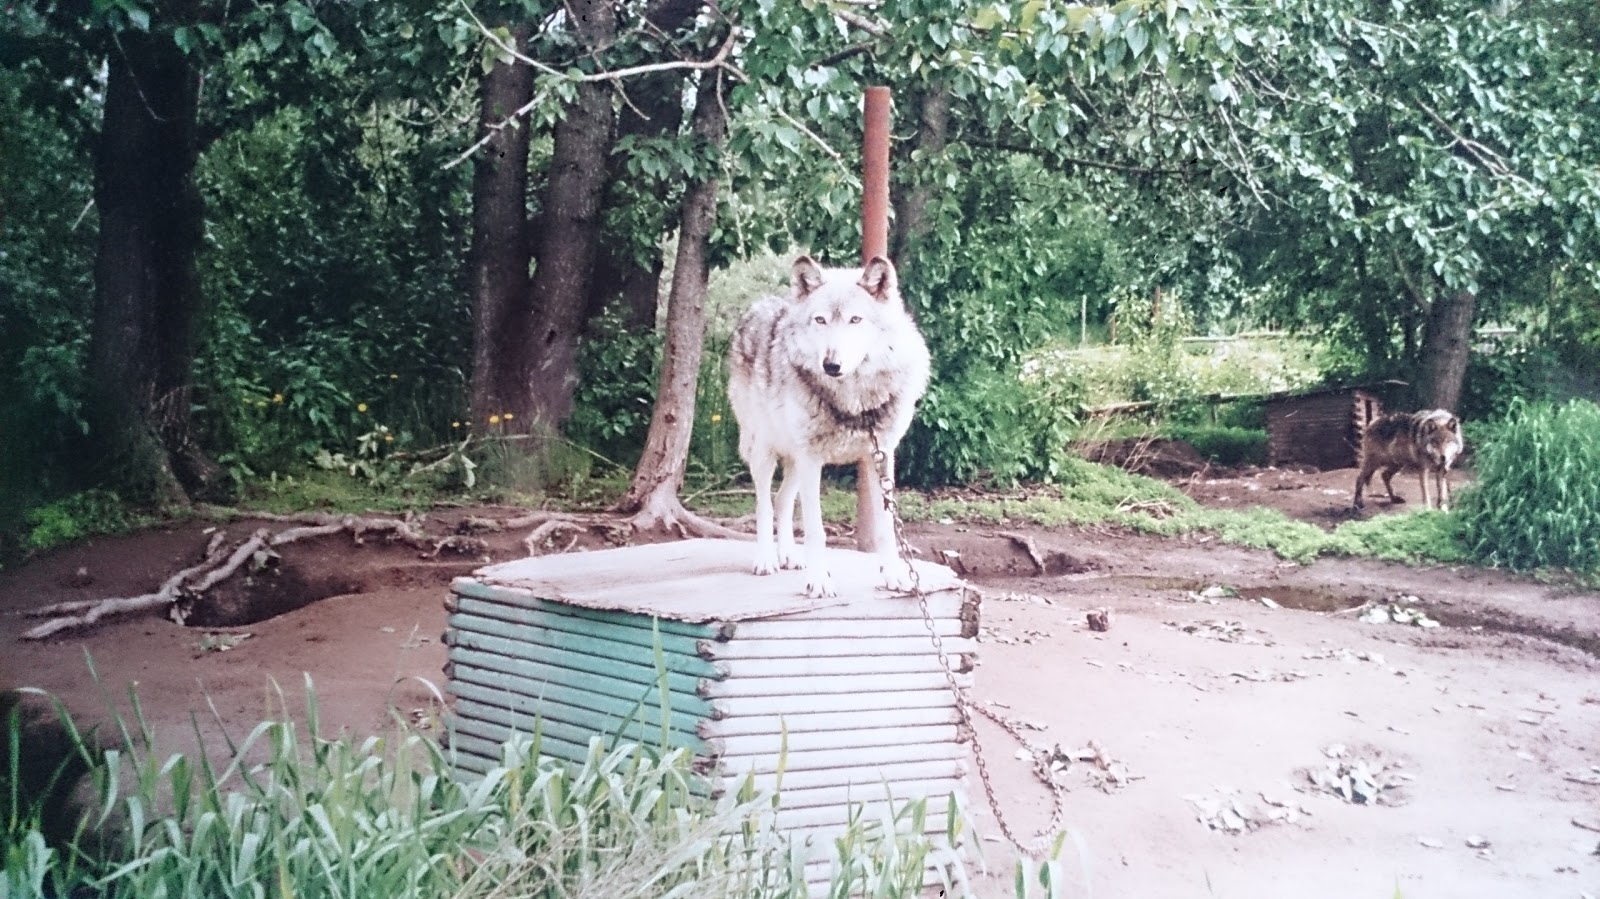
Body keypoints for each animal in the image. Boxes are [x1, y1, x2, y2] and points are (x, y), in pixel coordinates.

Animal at [727, 254, 932, 598]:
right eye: (820, 320)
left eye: (855, 320)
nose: (831, 365)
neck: (855, 405)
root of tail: (758, 306)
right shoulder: (812, 460)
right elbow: (816, 530)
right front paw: (819, 580)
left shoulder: (879, 456)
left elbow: (886, 528)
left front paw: (894, 576)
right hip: (765, 452)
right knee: (764, 504)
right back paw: (767, 559)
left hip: (795, 460)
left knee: (782, 500)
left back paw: (788, 556)